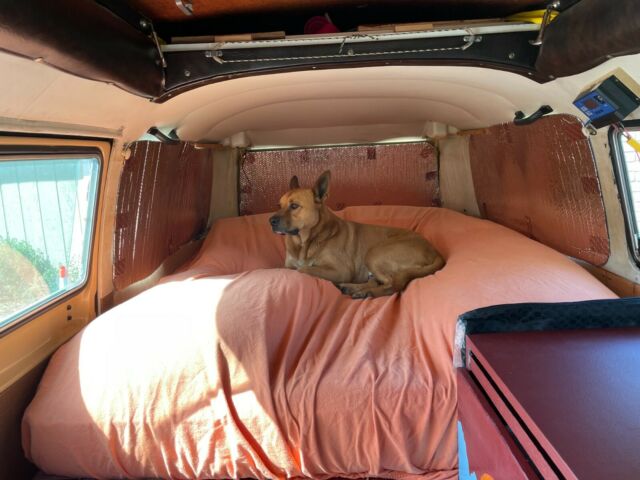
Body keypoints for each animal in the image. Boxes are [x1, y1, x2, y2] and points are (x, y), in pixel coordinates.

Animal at [269, 170, 444, 298]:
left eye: (294, 206)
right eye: (279, 205)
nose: (270, 221)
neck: (304, 241)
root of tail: (435, 252)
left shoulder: (341, 270)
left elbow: (303, 270)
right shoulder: (289, 265)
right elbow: (291, 269)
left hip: (374, 253)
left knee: (391, 285)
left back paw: (366, 292)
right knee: (377, 282)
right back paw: (351, 288)